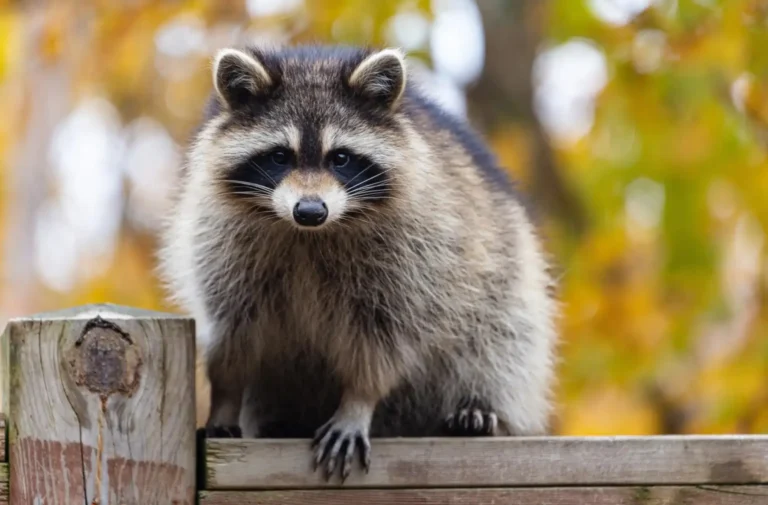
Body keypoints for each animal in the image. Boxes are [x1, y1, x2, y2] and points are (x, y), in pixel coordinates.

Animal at [158, 44, 558, 482]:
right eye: (280, 156)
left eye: (341, 158)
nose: (310, 210)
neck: (308, 235)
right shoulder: (221, 248)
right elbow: (233, 336)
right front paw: (225, 398)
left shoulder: (417, 255)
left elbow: (384, 339)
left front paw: (358, 401)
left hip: (506, 278)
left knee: (502, 340)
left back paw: (482, 408)